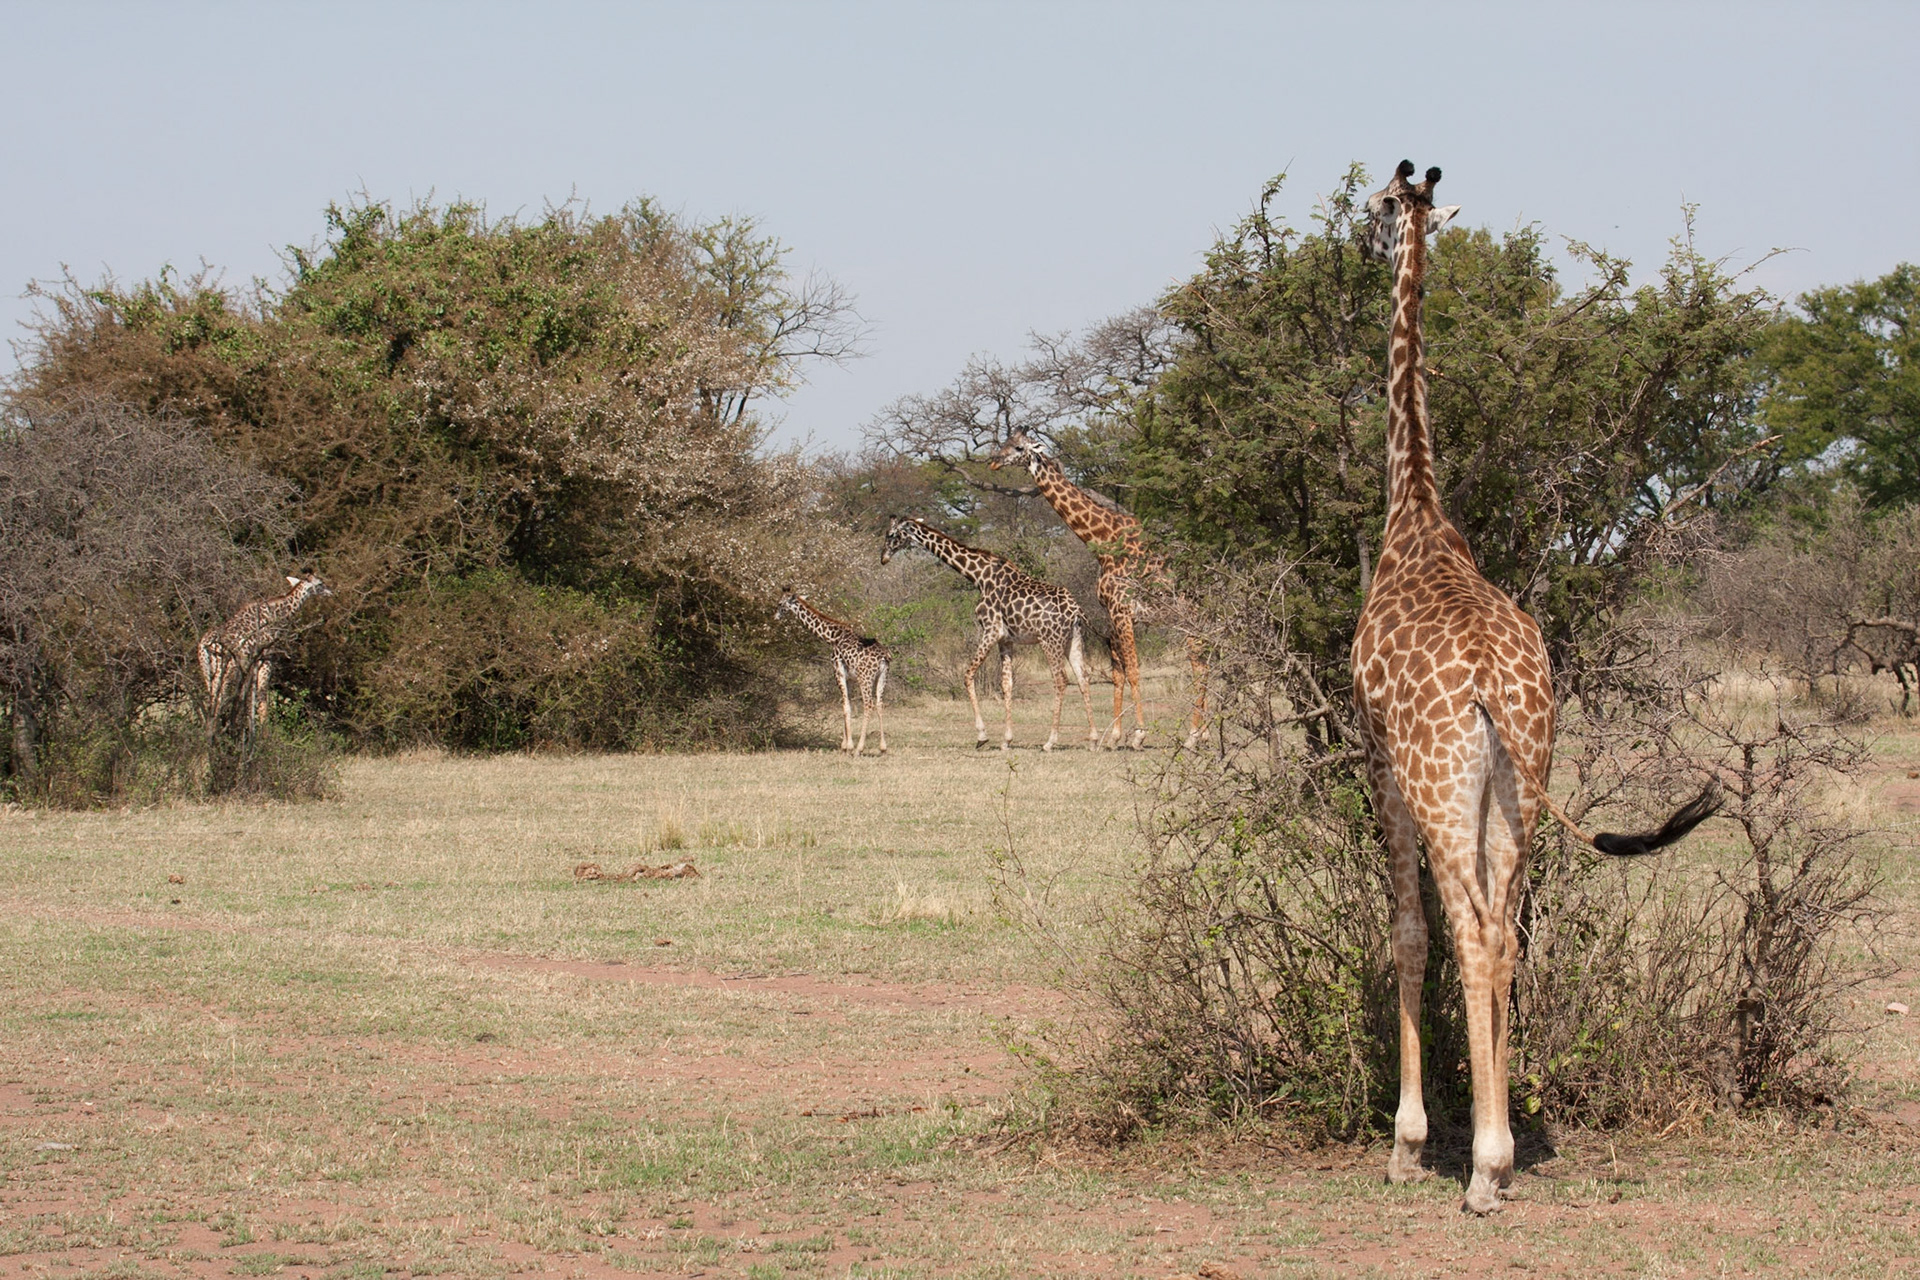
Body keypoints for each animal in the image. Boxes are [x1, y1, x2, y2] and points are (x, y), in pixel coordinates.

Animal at [198, 573, 332, 736]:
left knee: (211, 699)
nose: (330, 591)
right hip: (226, 670)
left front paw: (244, 730)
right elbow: (261, 696)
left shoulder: (251, 664)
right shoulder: (265, 659)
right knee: (218, 699)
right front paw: (263, 735)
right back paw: (214, 734)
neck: (278, 613)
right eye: (320, 583)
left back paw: (211, 732)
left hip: (208, 671)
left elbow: (247, 697)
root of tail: (205, 645)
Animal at [776, 590, 892, 756]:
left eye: (780, 603)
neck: (832, 637)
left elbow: (845, 706)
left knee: (868, 705)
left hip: (865, 678)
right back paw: (883, 747)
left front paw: (849, 746)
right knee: (879, 704)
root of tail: (884, 657)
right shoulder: (849, 678)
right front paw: (844, 745)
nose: (776, 616)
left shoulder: (838, 671)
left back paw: (859, 748)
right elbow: (847, 704)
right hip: (882, 676)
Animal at [880, 516, 1097, 751]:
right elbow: (1007, 684)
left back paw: (1050, 741)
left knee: (1061, 679)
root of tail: (1075, 610)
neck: (979, 576)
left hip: (1050, 640)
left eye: (891, 534)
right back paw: (1094, 739)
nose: (883, 558)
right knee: (1083, 677)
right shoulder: (1006, 639)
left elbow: (968, 674)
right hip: (1073, 639)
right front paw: (1006, 740)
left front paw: (982, 735)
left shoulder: (990, 629)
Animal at [986, 431, 1207, 749]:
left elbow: (1134, 670)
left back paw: (1192, 737)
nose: (993, 461)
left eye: (1018, 447)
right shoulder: (1110, 614)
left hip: (1189, 618)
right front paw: (1113, 737)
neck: (1104, 542)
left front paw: (1139, 735)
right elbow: (1118, 673)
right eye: (1004, 441)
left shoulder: (1123, 610)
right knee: (1207, 664)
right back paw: (1203, 733)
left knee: (1199, 667)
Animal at [1348, 162, 1719, 1214]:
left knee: (1472, 934)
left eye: (1379, 207)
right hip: (1525, 773)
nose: (1360, 234)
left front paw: (1408, 1143)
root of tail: (1490, 693)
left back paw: (1477, 1169)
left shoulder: (1380, 760)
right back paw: (1501, 1154)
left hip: (1443, 782)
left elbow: (1408, 935)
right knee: (1508, 934)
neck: (1417, 511)